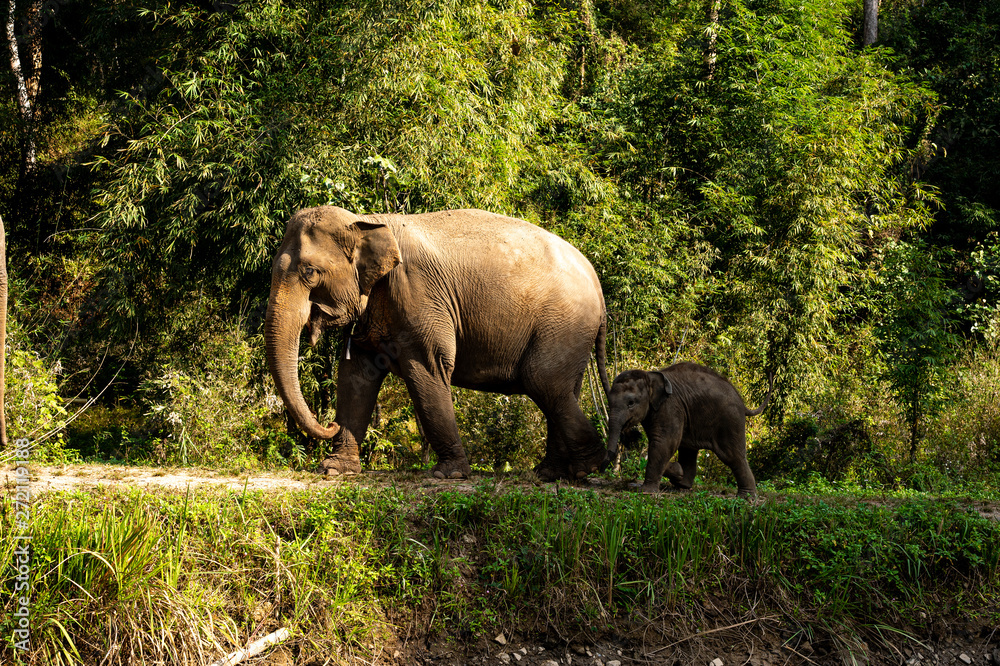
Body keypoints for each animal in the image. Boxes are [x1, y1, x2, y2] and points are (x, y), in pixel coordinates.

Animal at [265, 206, 611, 481]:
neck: (369, 221)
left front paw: (450, 475)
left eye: (310, 272)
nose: (329, 425)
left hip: (563, 322)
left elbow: (428, 367)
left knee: (543, 381)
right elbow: (355, 377)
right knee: (561, 388)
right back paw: (550, 474)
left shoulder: (421, 297)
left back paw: (588, 468)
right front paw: (334, 470)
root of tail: (595, 279)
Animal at [605, 362, 772, 497]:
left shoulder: (670, 407)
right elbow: (662, 442)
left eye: (631, 403)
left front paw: (645, 491)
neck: (650, 376)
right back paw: (683, 484)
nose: (629, 436)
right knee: (688, 450)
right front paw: (676, 472)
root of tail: (743, 403)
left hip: (730, 420)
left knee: (733, 455)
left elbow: (664, 442)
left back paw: (746, 498)